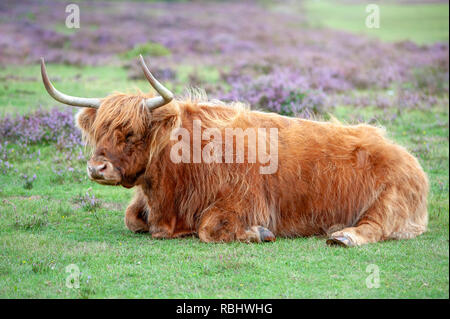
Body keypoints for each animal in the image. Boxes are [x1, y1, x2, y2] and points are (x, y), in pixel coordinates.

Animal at [39, 55, 428, 248]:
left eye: (131, 133)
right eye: (98, 132)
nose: (97, 168)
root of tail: (402, 152)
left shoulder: (245, 202)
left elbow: (209, 228)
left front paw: (259, 234)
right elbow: (132, 219)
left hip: (388, 201)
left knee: (375, 225)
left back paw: (344, 236)